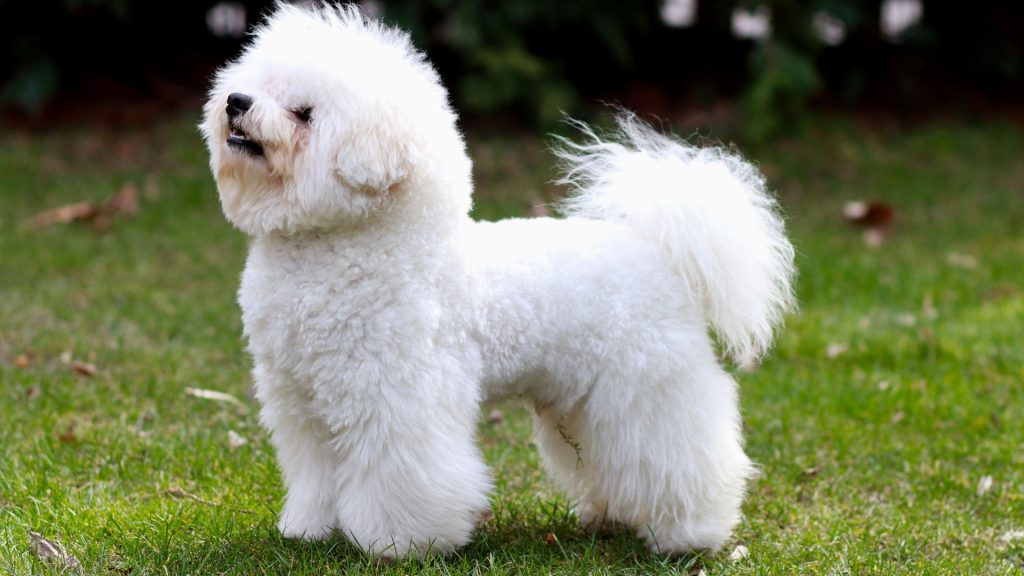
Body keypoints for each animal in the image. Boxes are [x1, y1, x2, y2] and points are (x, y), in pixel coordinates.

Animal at [199, 3, 790, 557]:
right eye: (259, 85)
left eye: (304, 114)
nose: (236, 102)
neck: (342, 247)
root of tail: (658, 250)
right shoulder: (302, 400)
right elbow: (315, 472)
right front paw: (310, 530)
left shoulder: (397, 397)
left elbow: (401, 477)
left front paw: (398, 544)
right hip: (583, 401)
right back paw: (613, 517)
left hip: (649, 389)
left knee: (683, 456)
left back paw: (690, 534)